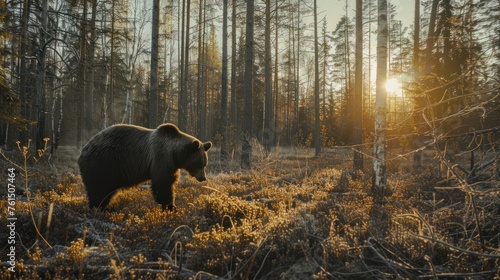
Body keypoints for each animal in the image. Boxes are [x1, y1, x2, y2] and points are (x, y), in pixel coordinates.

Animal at [77, 123, 211, 211]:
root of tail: (84, 150)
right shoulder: (161, 158)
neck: (175, 153)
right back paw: (97, 208)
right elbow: (162, 183)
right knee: (98, 190)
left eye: (205, 164)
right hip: (103, 164)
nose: (203, 178)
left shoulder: (172, 165)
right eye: (200, 164)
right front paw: (170, 206)